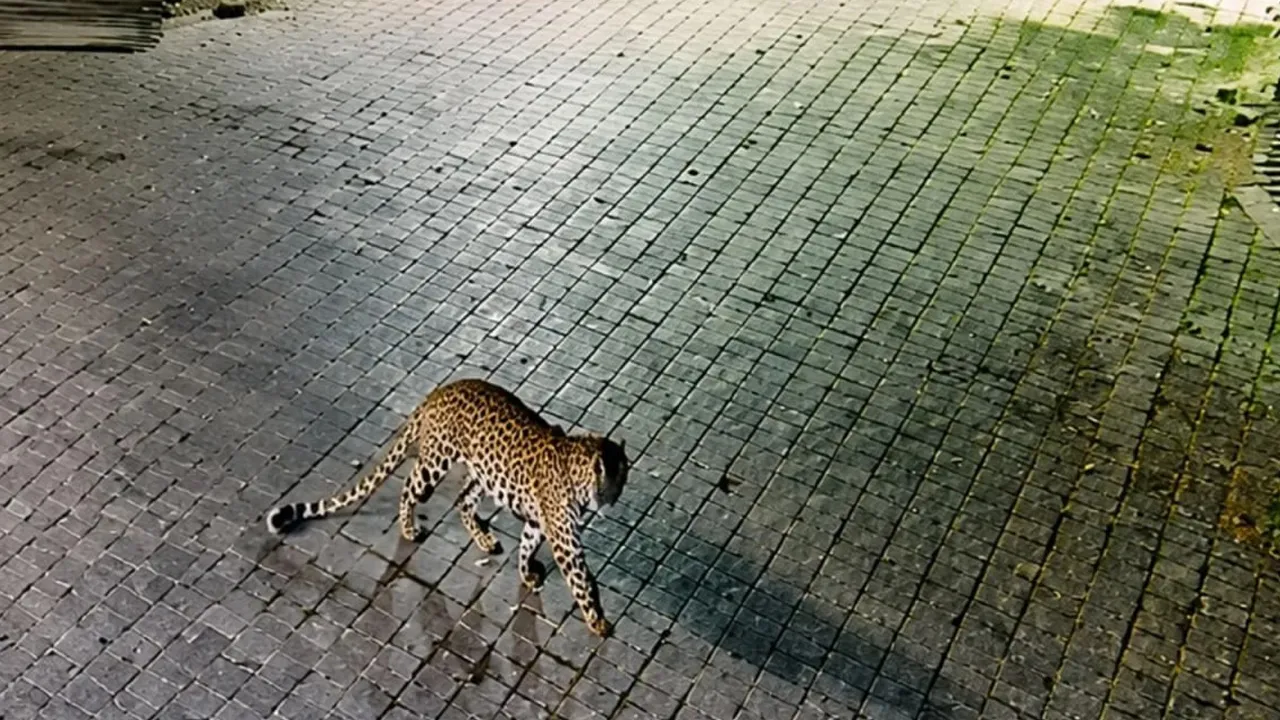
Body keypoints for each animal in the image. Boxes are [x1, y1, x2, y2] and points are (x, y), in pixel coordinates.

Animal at [264, 378, 630, 637]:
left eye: (625, 479)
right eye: (612, 482)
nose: (615, 500)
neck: (579, 475)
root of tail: (440, 391)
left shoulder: (539, 523)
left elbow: (526, 547)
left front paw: (527, 574)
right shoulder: (566, 541)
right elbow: (581, 581)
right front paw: (598, 621)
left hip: (483, 473)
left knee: (462, 501)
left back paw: (484, 539)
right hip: (434, 464)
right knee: (409, 487)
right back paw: (409, 528)